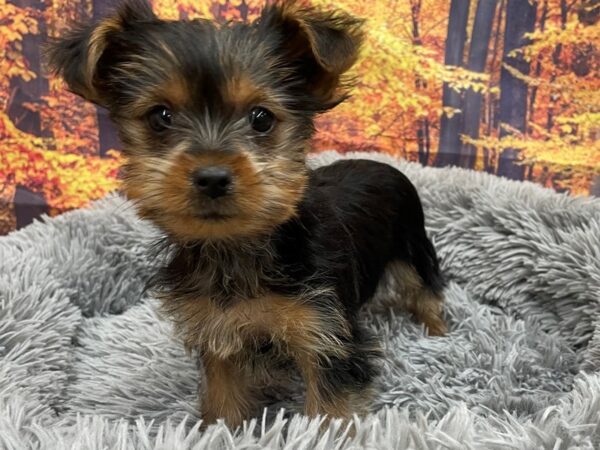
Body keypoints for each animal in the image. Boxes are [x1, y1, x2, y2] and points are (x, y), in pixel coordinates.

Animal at [47, 0, 446, 428]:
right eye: (160, 116)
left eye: (261, 118)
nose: (212, 177)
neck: (238, 246)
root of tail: (383, 163)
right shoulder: (216, 330)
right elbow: (223, 394)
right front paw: (221, 429)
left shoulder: (327, 335)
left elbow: (330, 409)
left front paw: (324, 432)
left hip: (413, 246)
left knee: (425, 290)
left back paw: (439, 332)